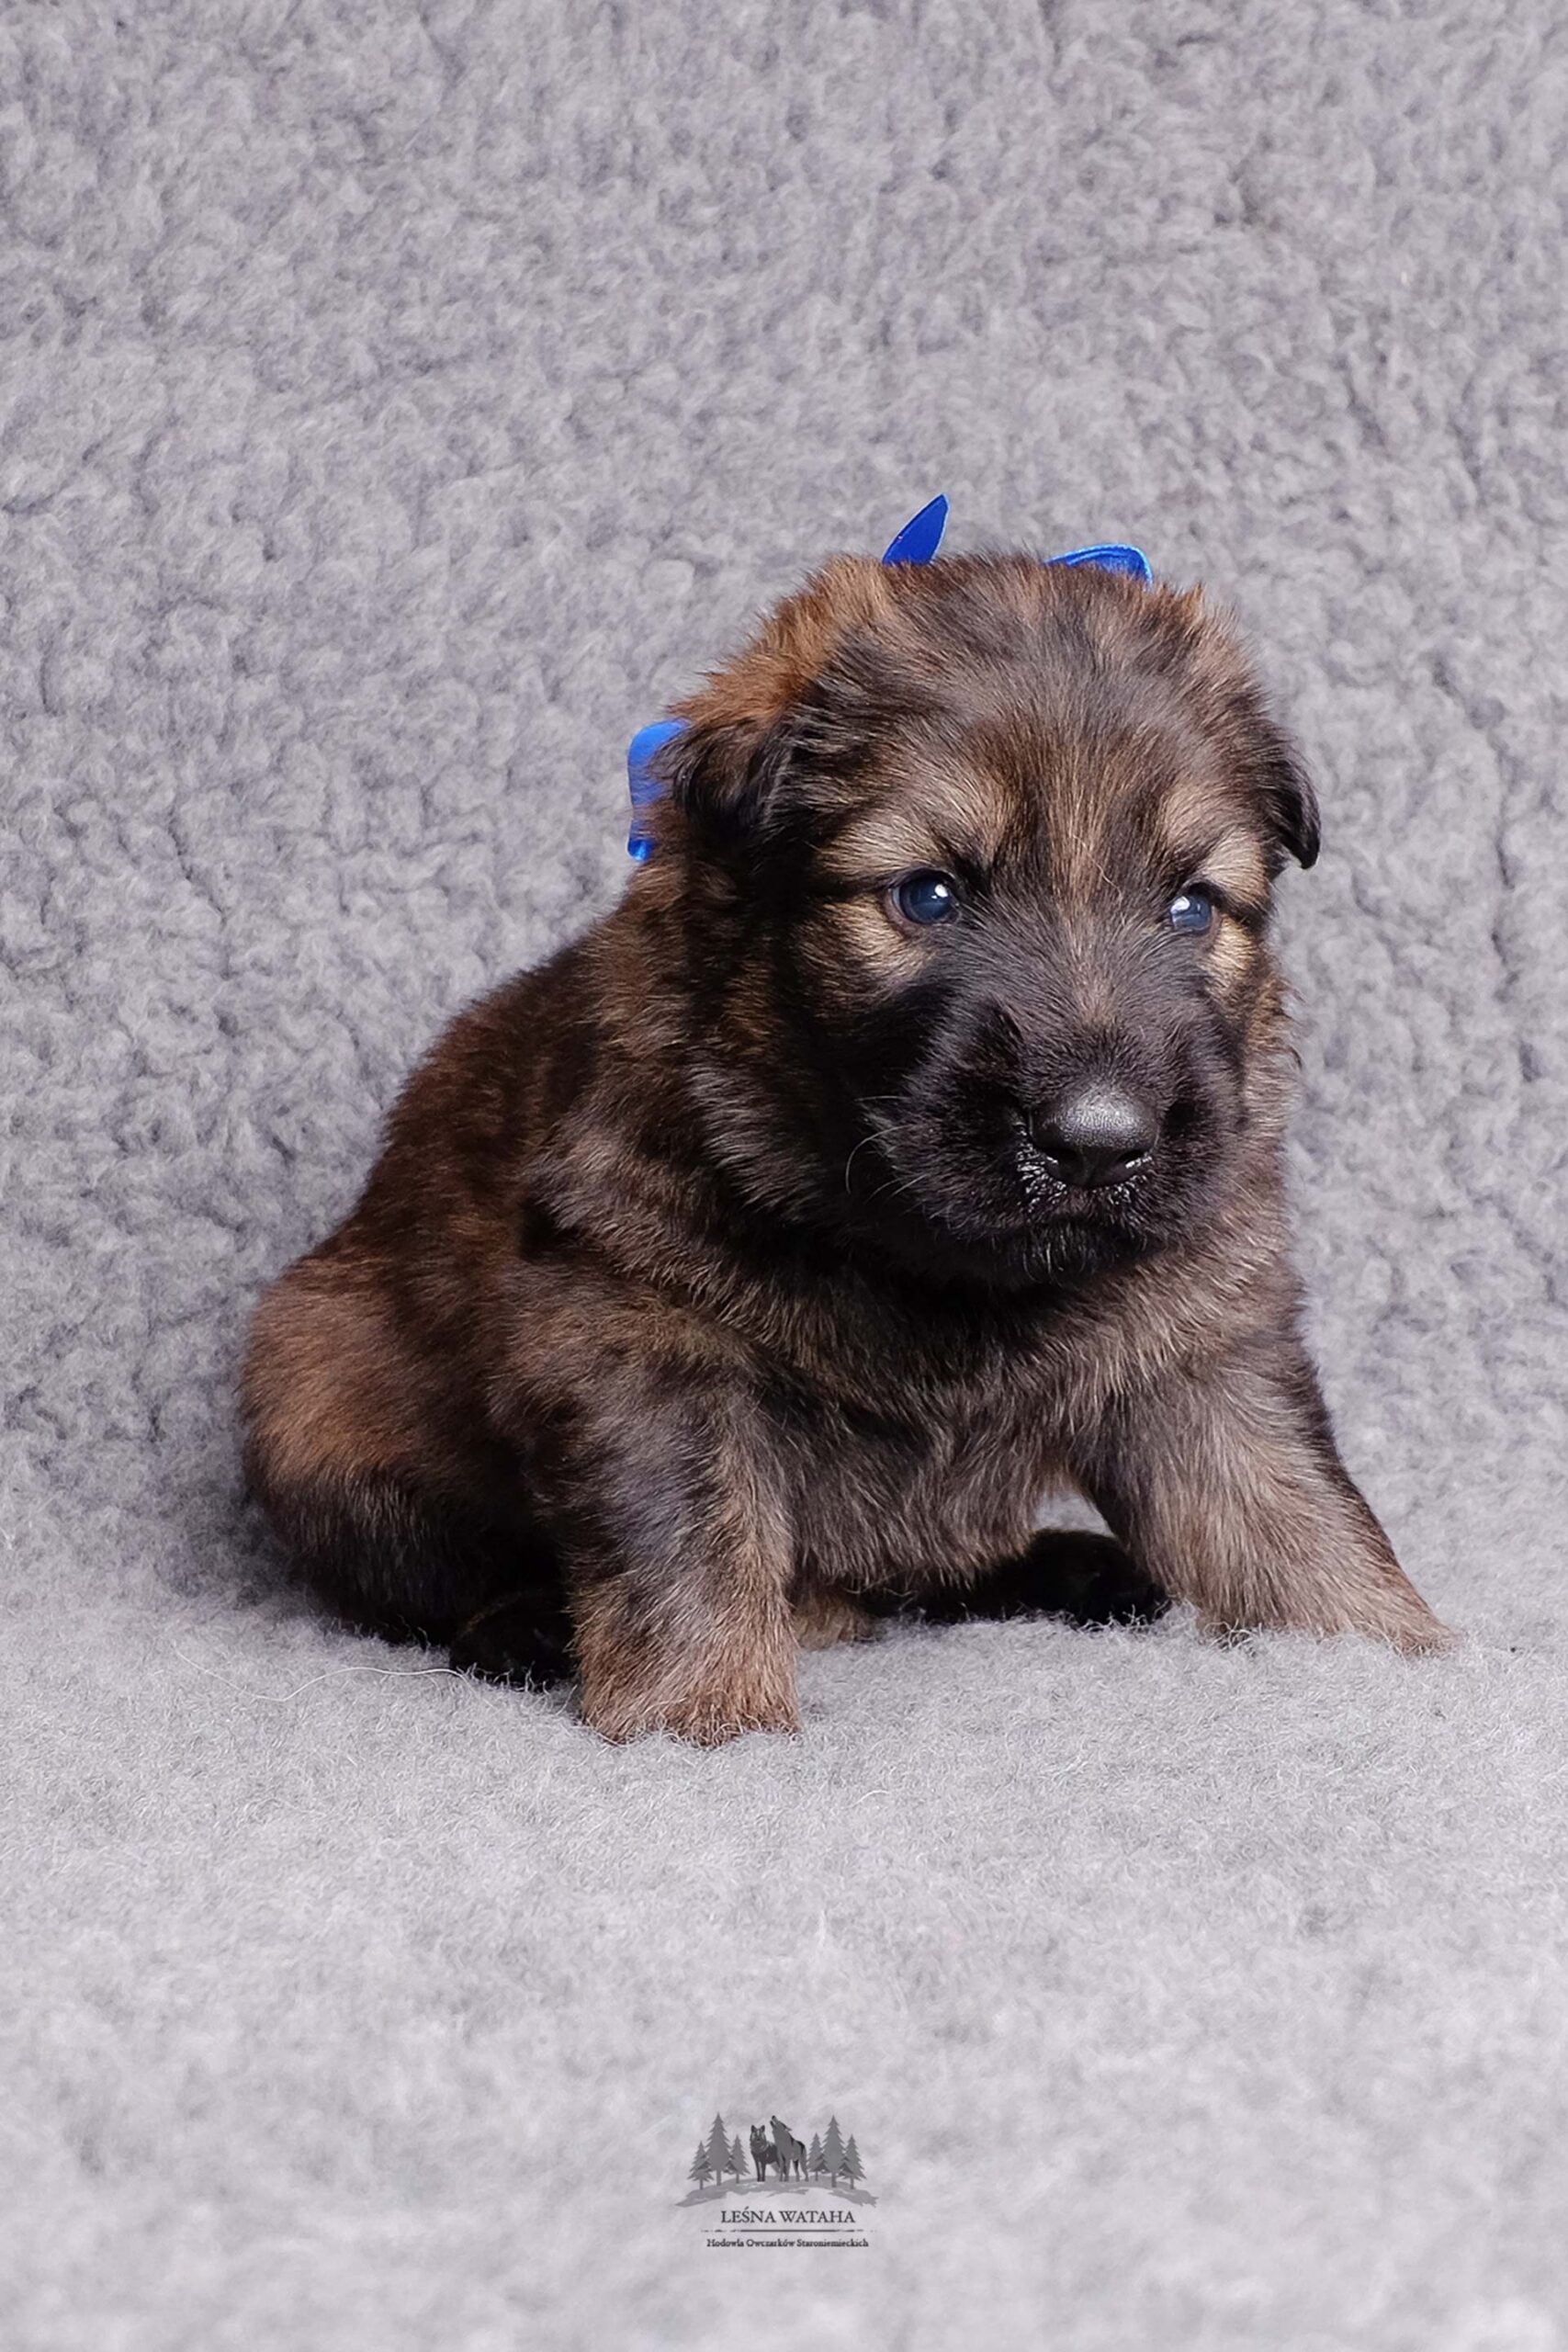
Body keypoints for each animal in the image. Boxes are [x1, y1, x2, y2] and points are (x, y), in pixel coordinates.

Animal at [241, 547, 1447, 1744]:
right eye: (928, 895)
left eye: (1193, 907)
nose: (1099, 1146)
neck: (936, 1259)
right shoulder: (636, 1330)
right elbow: (691, 1537)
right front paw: (707, 1714)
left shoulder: (1201, 1333)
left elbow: (1292, 1513)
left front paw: (1401, 1657)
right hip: (310, 1389)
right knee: (429, 1570)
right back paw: (531, 1629)